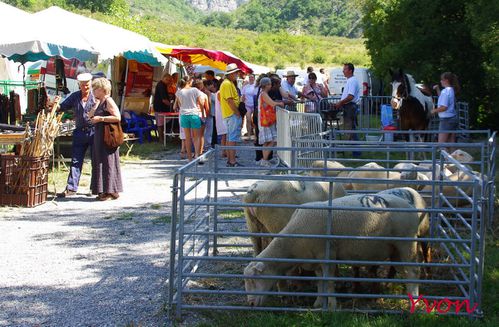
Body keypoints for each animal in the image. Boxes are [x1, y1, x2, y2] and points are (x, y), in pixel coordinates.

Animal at [243, 193, 422, 312]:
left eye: (253, 279)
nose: (250, 304)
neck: (293, 241)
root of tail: (411, 206)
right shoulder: (315, 260)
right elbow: (320, 282)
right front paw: (318, 303)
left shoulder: (327, 255)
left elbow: (328, 282)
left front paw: (331, 306)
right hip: (395, 250)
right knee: (405, 272)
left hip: (406, 242)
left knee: (413, 271)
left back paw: (414, 303)